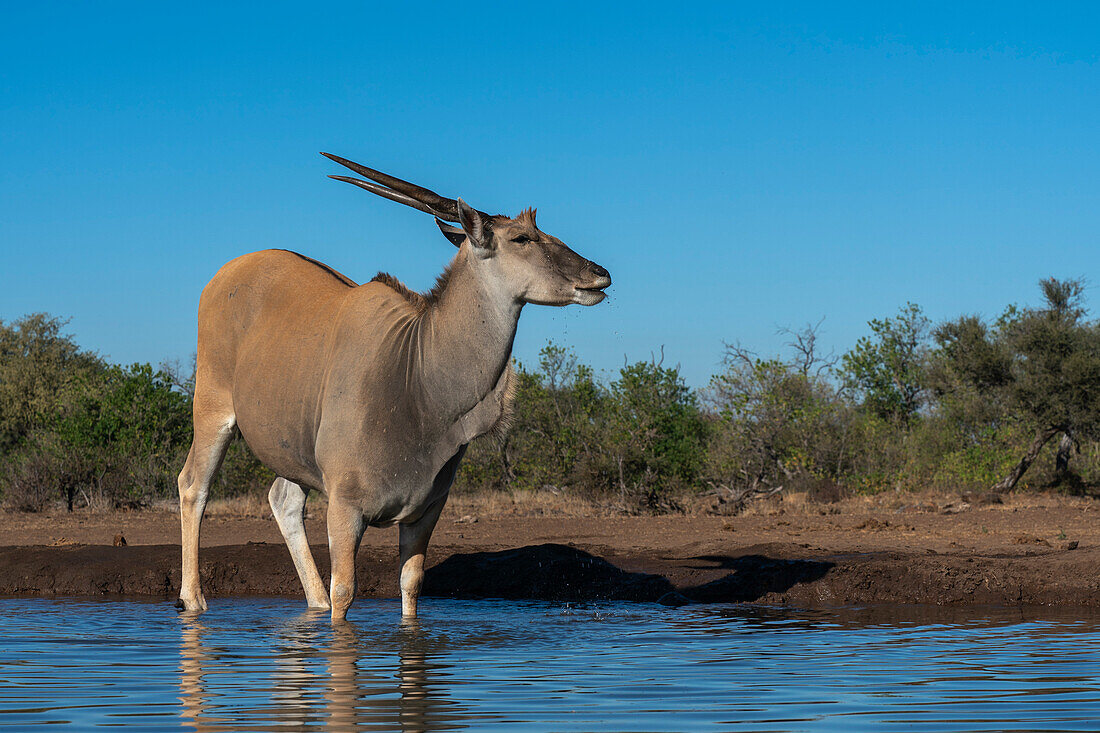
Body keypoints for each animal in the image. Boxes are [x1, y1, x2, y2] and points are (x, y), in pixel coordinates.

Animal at [176, 152, 616, 616]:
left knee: (283, 501)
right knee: (193, 486)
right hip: (213, 412)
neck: (415, 374)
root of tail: (223, 275)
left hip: (293, 454)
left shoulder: (425, 512)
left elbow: (410, 585)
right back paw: (193, 598)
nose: (599, 274)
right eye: (522, 238)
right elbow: (345, 591)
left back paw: (313, 605)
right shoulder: (345, 509)